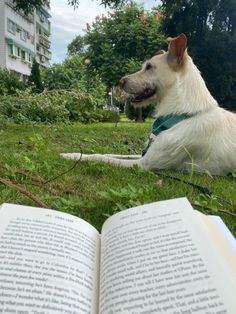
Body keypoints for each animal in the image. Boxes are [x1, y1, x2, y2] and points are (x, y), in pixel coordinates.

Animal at [61, 34, 236, 177]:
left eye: (149, 67)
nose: (120, 81)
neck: (181, 114)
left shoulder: (143, 164)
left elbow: (101, 158)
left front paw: (73, 156)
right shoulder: (144, 155)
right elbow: (107, 154)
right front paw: (72, 153)